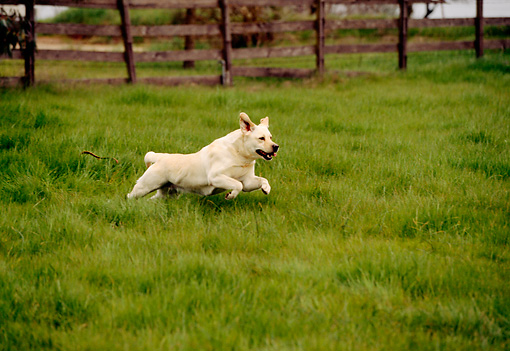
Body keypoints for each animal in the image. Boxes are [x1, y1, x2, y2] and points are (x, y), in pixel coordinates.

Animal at [127, 113, 278, 201]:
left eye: (270, 137)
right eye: (261, 138)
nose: (276, 146)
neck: (238, 154)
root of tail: (160, 158)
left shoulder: (248, 181)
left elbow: (260, 180)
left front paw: (266, 189)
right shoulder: (216, 177)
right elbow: (237, 185)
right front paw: (230, 195)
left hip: (164, 194)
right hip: (144, 186)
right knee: (130, 196)